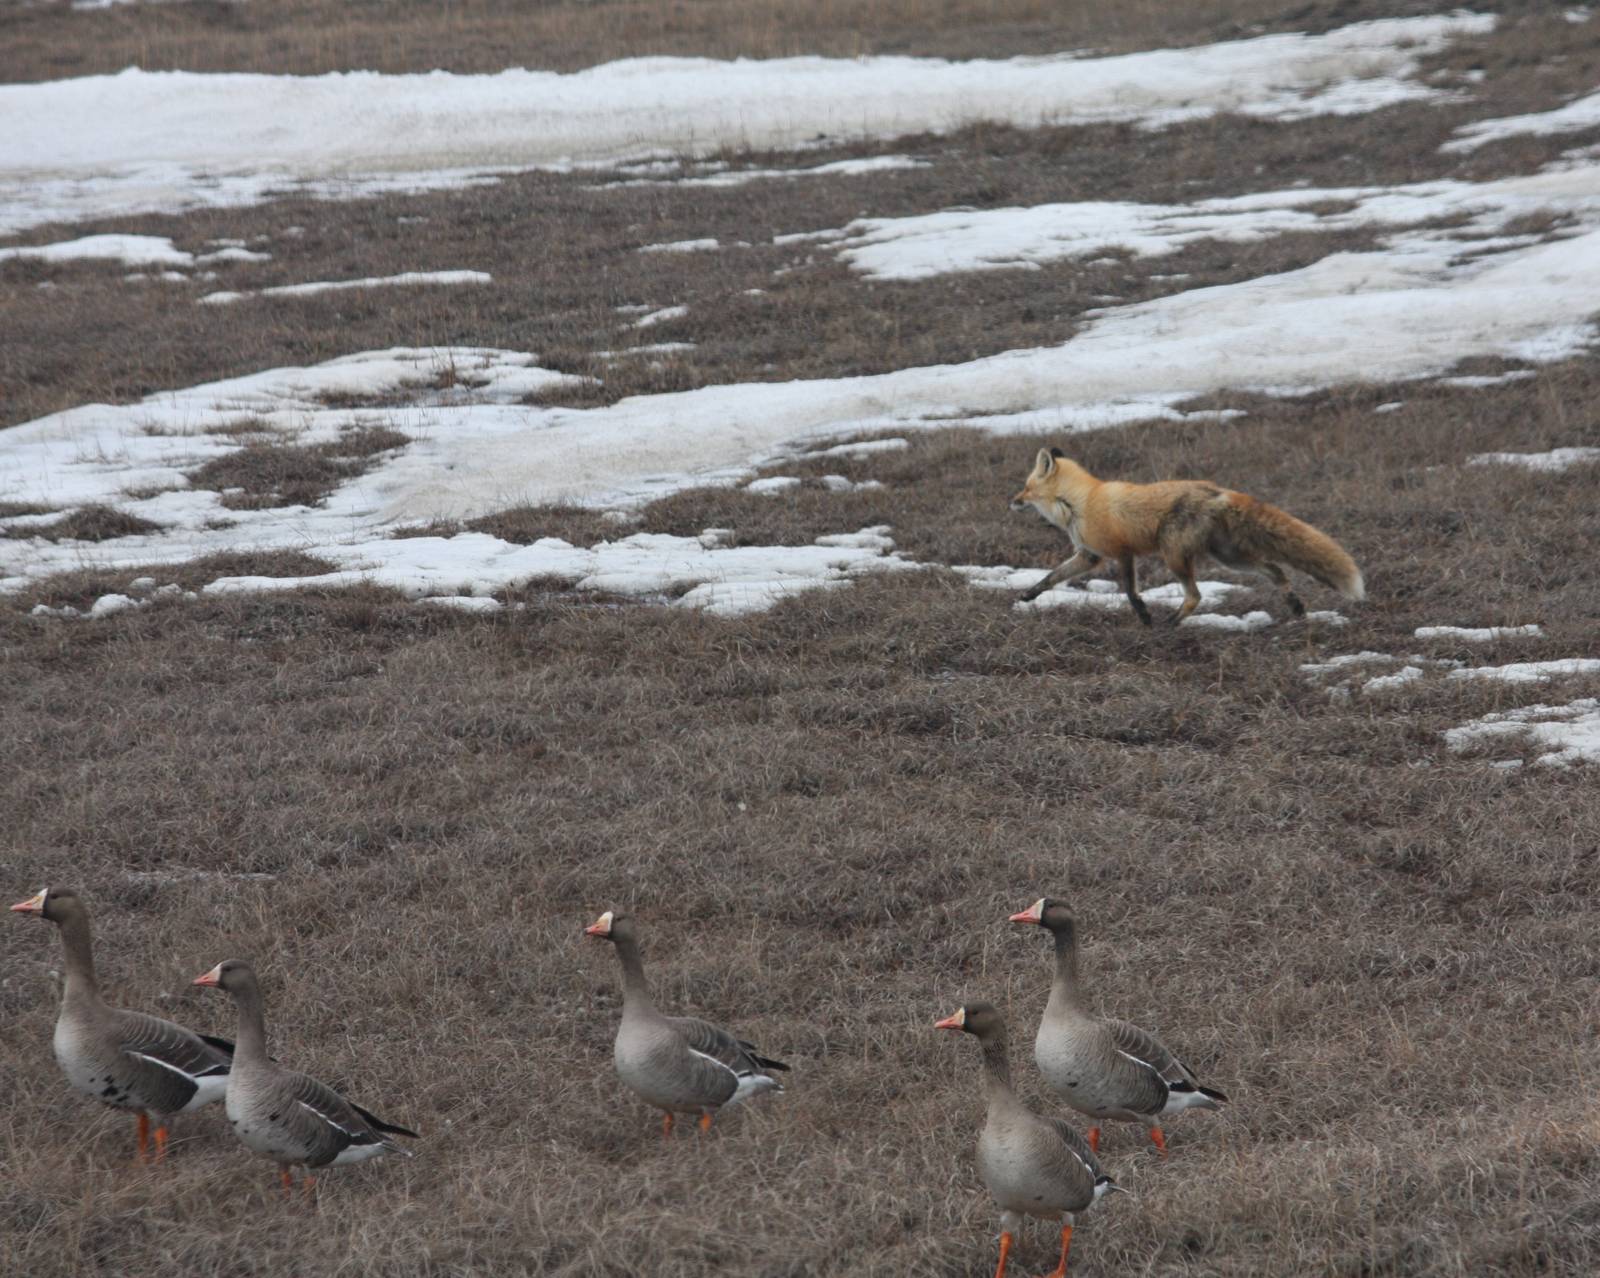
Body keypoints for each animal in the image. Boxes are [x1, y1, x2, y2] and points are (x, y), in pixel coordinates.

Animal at [1010, 448, 1363, 626]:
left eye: (1025, 488)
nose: (1011, 501)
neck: (1080, 502)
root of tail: (1216, 491)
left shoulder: (1123, 552)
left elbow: (1130, 591)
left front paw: (1144, 617)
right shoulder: (1089, 554)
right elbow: (1052, 576)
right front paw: (1028, 595)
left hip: (1174, 556)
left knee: (1195, 595)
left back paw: (1171, 623)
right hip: (1230, 557)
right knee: (1276, 570)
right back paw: (1296, 607)